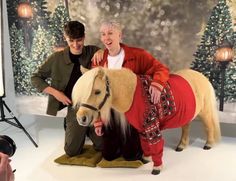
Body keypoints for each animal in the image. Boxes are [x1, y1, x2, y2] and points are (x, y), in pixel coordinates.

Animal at [71, 67, 220, 175]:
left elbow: (155, 145)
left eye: (97, 91)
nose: (81, 118)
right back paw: (181, 146)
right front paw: (146, 159)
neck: (132, 94)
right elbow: (145, 144)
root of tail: (202, 76)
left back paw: (208, 144)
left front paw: (157, 168)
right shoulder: (142, 128)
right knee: (186, 127)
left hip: (205, 112)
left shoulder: (151, 126)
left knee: (209, 126)